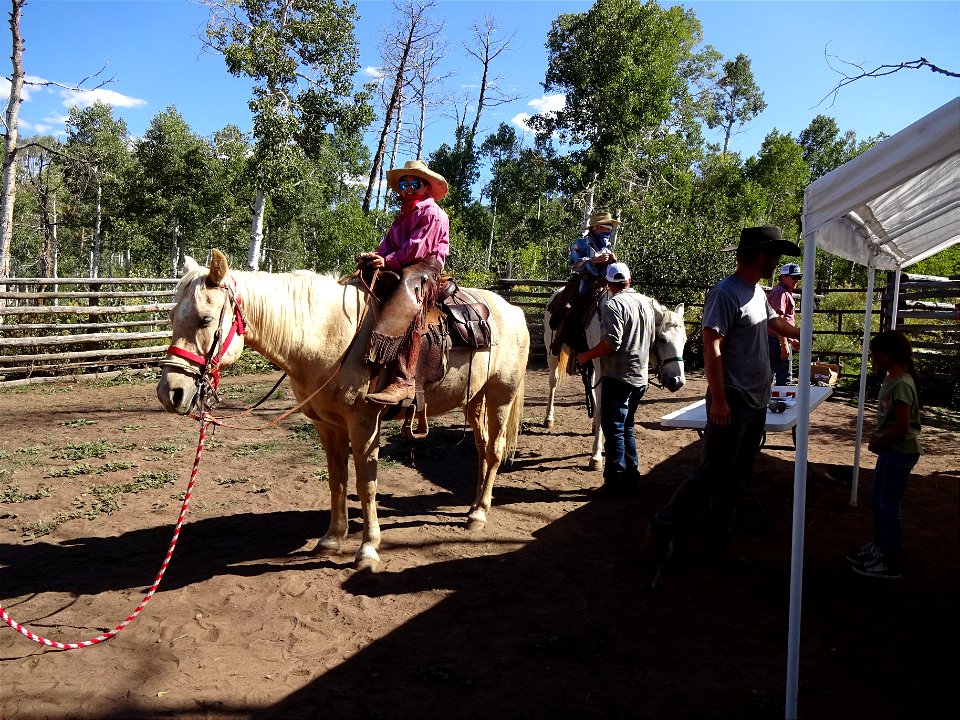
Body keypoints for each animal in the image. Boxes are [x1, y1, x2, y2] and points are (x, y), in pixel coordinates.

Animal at [155, 250, 528, 572]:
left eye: (205, 319)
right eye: (172, 317)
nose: (170, 393)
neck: (327, 334)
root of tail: (513, 310)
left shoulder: (363, 424)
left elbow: (366, 485)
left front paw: (368, 549)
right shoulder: (327, 425)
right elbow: (337, 479)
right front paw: (332, 538)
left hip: (500, 397)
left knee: (494, 451)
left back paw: (478, 515)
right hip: (475, 400)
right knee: (481, 449)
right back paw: (475, 505)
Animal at [544, 290, 688, 470]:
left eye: (684, 340)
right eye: (662, 339)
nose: (677, 380)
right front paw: (596, 456)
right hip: (553, 354)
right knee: (553, 381)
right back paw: (549, 418)